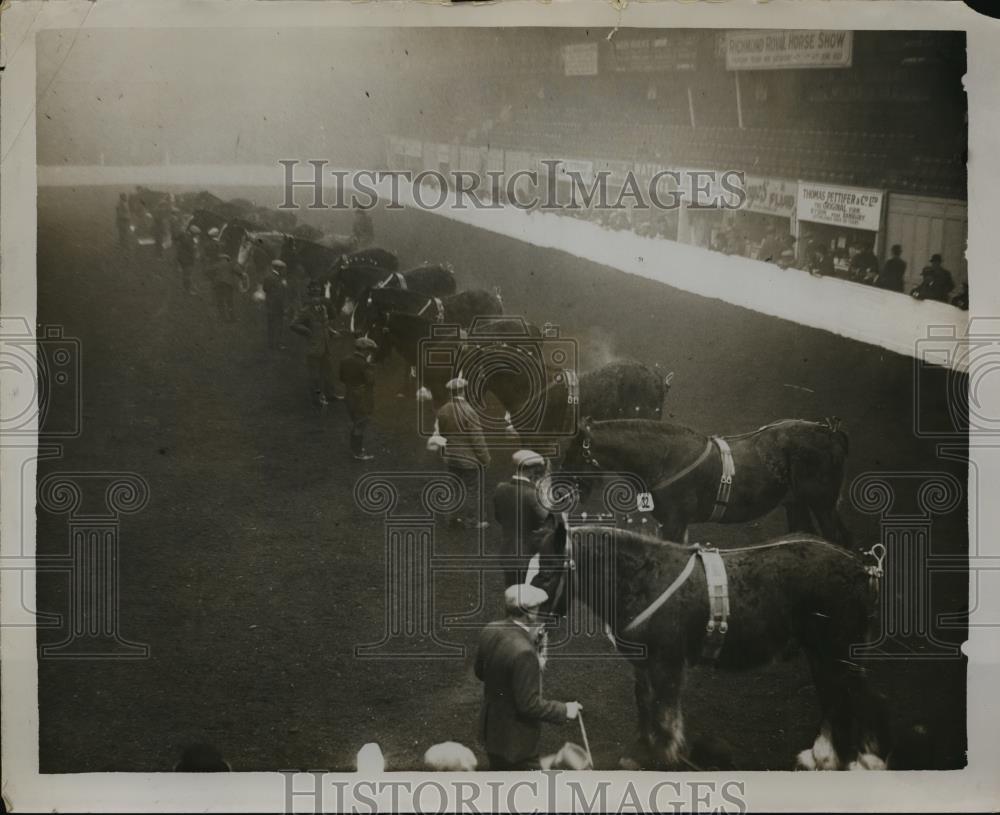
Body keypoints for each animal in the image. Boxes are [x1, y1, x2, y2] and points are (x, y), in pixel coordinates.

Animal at [532, 520, 892, 776]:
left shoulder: (666, 664)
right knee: (835, 701)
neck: (645, 577)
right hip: (823, 655)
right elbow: (646, 707)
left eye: (547, 576)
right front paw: (642, 752)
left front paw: (661, 757)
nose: (533, 629)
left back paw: (863, 760)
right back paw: (822, 757)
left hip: (838, 654)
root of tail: (863, 570)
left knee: (866, 701)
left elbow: (664, 713)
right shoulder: (645, 666)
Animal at [564, 420, 852, 548]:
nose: (564, 492)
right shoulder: (673, 524)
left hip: (823, 505)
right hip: (796, 503)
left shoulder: (674, 523)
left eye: (575, 455)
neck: (666, 458)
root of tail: (832, 433)